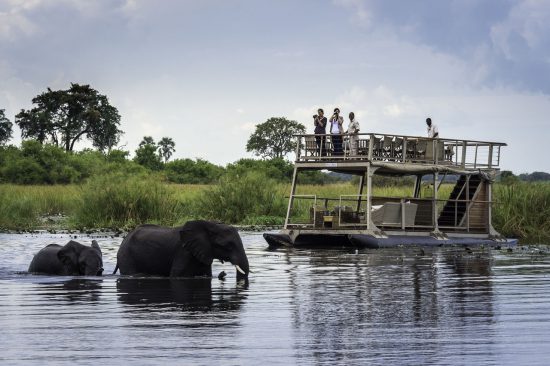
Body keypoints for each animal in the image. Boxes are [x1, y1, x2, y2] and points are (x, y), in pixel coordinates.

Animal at [115, 220, 251, 280]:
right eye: (228, 246)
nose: (224, 272)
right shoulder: (183, 252)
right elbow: (177, 276)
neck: (210, 225)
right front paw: (222, 274)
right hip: (126, 255)